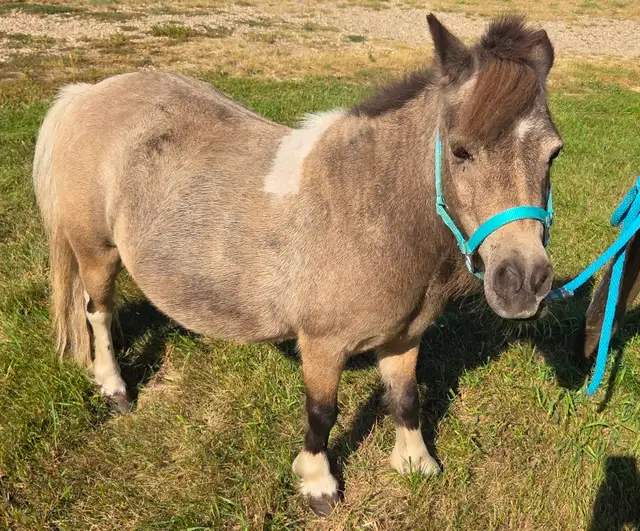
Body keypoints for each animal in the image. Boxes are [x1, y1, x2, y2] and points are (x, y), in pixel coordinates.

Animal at [32, 14, 562, 515]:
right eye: (460, 151)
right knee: (97, 312)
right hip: (96, 252)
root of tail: (87, 94)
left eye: (553, 154)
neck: (369, 210)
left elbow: (406, 396)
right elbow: (322, 412)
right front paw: (317, 483)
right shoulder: (323, 345)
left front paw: (415, 462)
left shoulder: (405, 336)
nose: (523, 282)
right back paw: (114, 388)